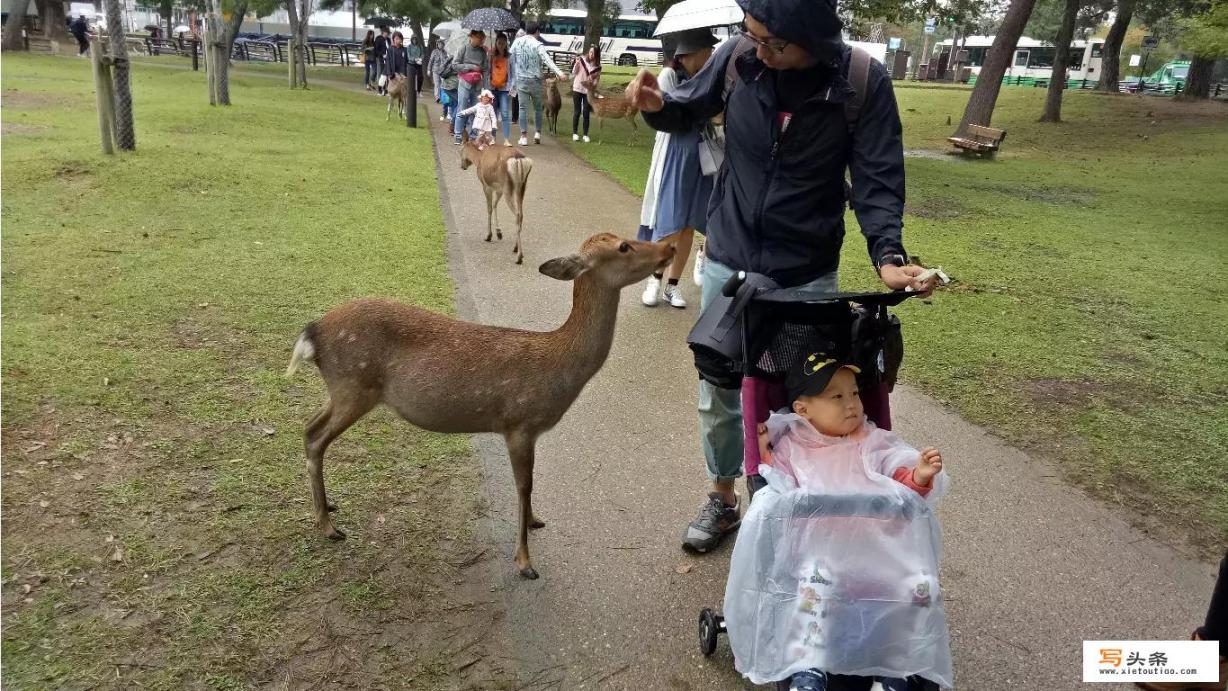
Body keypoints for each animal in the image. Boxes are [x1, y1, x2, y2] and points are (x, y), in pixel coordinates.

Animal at [283, 231, 677, 579]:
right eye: (624, 246)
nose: (670, 247)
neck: (560, 368)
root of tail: (313, 332)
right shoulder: (518, 422)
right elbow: (523, 486)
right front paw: (525, 562)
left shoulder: (530, 431)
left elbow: (529, 486)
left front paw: (534, 521)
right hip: (354, 386)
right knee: (316, 436)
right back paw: (328, 527)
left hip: (342, 390)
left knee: (308, 427)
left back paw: (328, 507)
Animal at [461, 133, 532, 265]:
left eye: (460, 150)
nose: (462, 166)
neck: (478, 158)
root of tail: (518, 159)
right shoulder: (498, 188)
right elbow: (495, 205)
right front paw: (499, 233)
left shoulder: (486, 185)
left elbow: (489, 208)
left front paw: (489, 235)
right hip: (522, 186)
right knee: (521, 213)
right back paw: (515, 248)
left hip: (507, 185)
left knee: (517, 214)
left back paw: (519, 256)